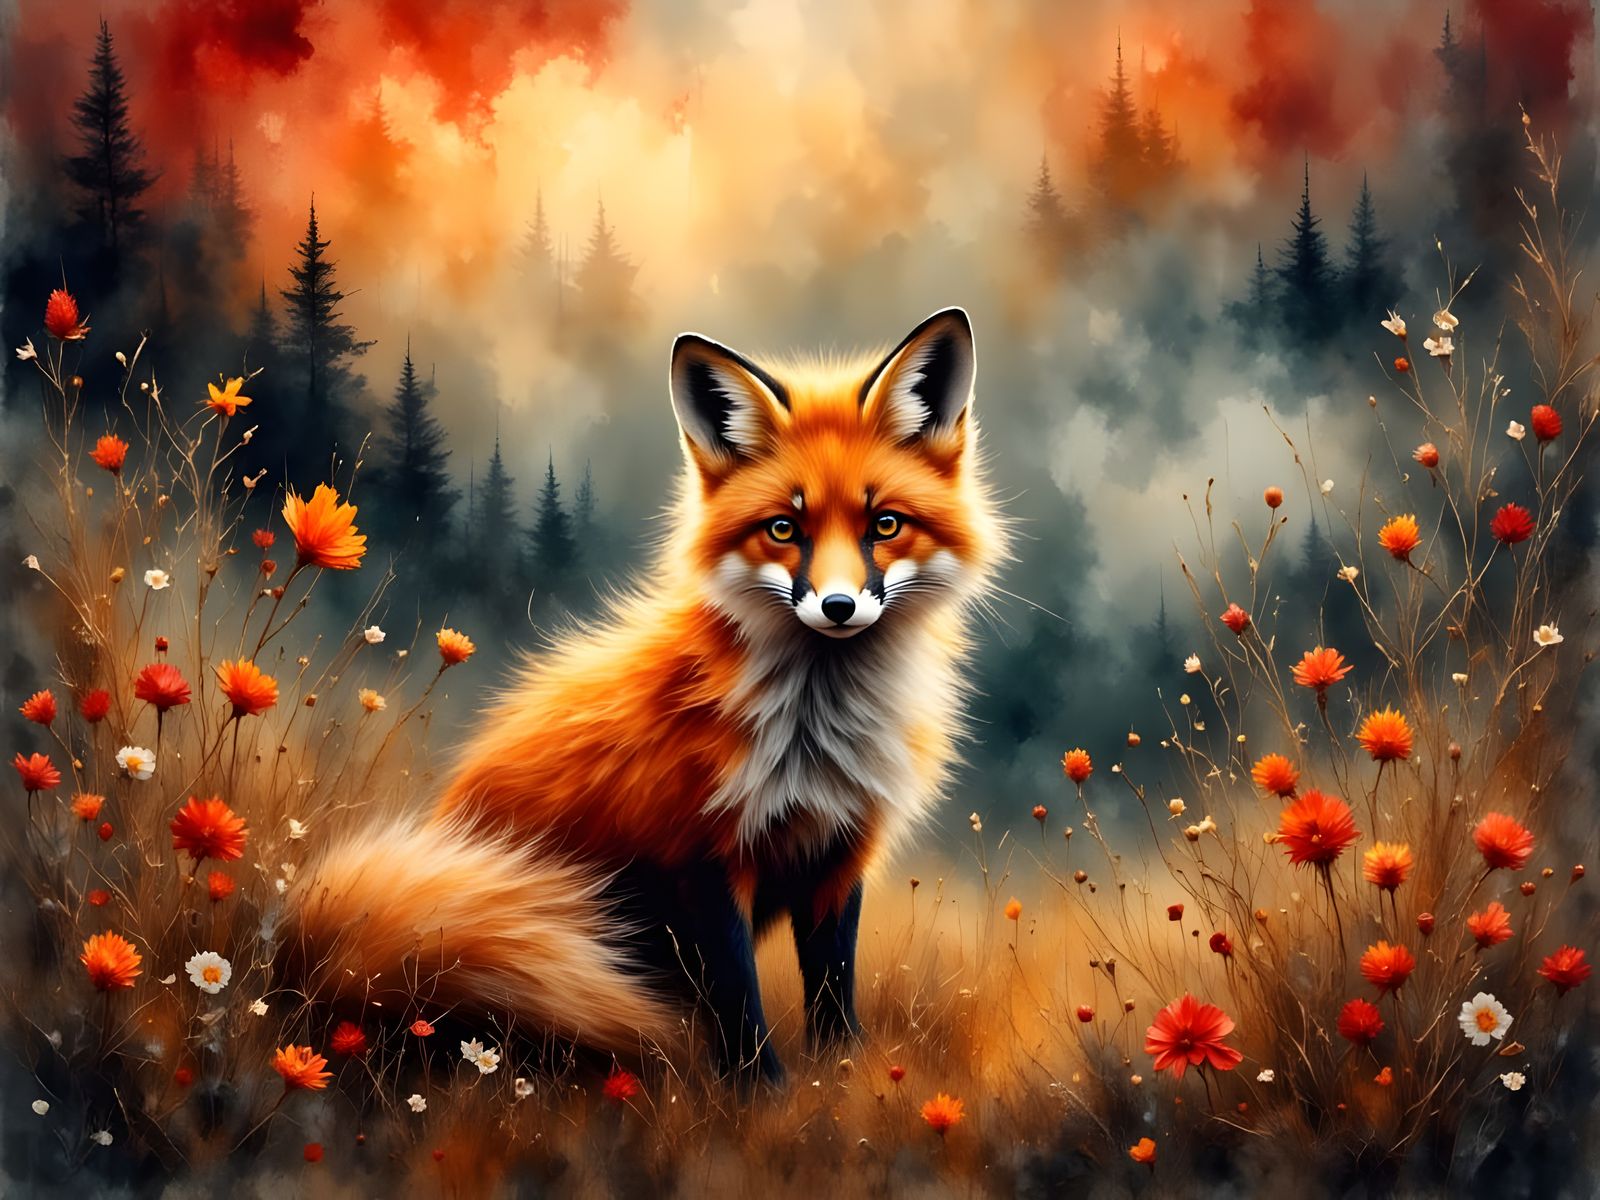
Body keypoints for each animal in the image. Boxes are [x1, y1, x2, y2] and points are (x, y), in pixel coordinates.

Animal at [290, 307, 1004, 1084]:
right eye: (784, 528)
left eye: (885, 524)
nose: (839, 607)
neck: (813, 737)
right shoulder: (700, 861)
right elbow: (738, 1001)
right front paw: (763, 1093)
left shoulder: (837, 855)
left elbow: (833, 993)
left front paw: (839, 1082)